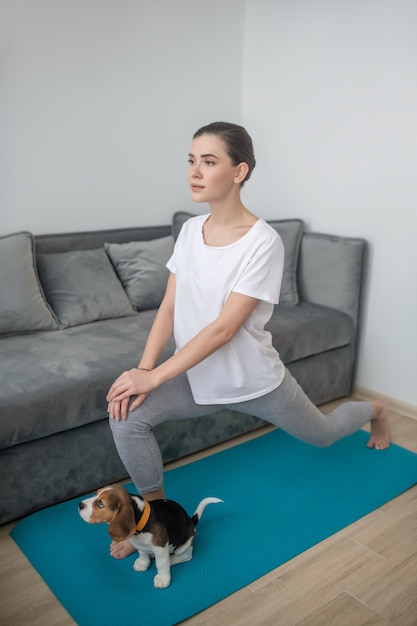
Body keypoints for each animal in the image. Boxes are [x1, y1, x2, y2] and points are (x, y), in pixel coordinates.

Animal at [78, 482, 221, 584]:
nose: (80, 504)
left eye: (100, 504)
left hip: (184, 545)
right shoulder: (140, 545)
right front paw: (143, 563)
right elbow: (142, 553)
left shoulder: (160, 548)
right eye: (96, 493)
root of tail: (191, 521)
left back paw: (171, 559)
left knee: (186, 556)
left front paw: (163, 578)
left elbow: (161, 564)